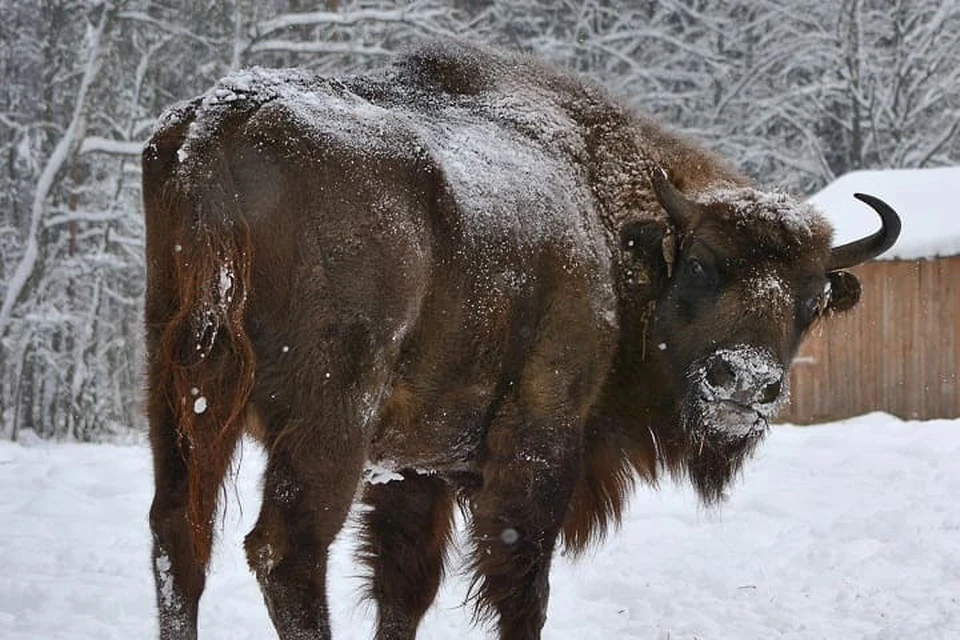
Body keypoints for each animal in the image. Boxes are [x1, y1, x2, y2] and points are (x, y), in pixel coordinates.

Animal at [142, 41, 900, 640]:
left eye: (812, 299)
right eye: (702, 266)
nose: (745, 382)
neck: (611, 233)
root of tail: (227, 116)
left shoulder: (416, 470)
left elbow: (404, 588)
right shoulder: (539, 445)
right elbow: (521, 589)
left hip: (181, 392)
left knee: (179, 535)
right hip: (330, 417)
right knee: (284, 550)